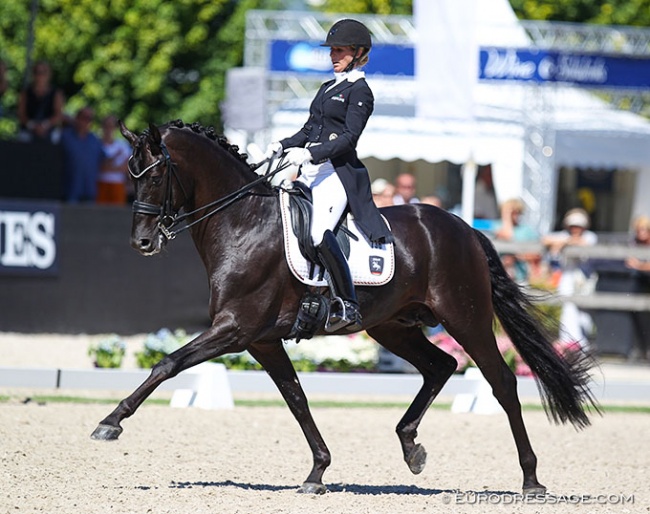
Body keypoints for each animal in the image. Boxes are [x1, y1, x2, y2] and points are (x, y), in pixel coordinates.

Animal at [92, 119, 596, 492]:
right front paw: (317, 471)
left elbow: (167, 364)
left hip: (465, 318)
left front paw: (110, 423)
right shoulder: (261, 341)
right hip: (392, 326)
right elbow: (296, 397)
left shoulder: (235, 329)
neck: (243, 222)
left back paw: (531, 479)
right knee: (440, 366)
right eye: (130, 173)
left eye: (156, 174)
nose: (142, 242)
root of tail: (463, 226)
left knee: (501, 381)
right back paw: (411, 448)